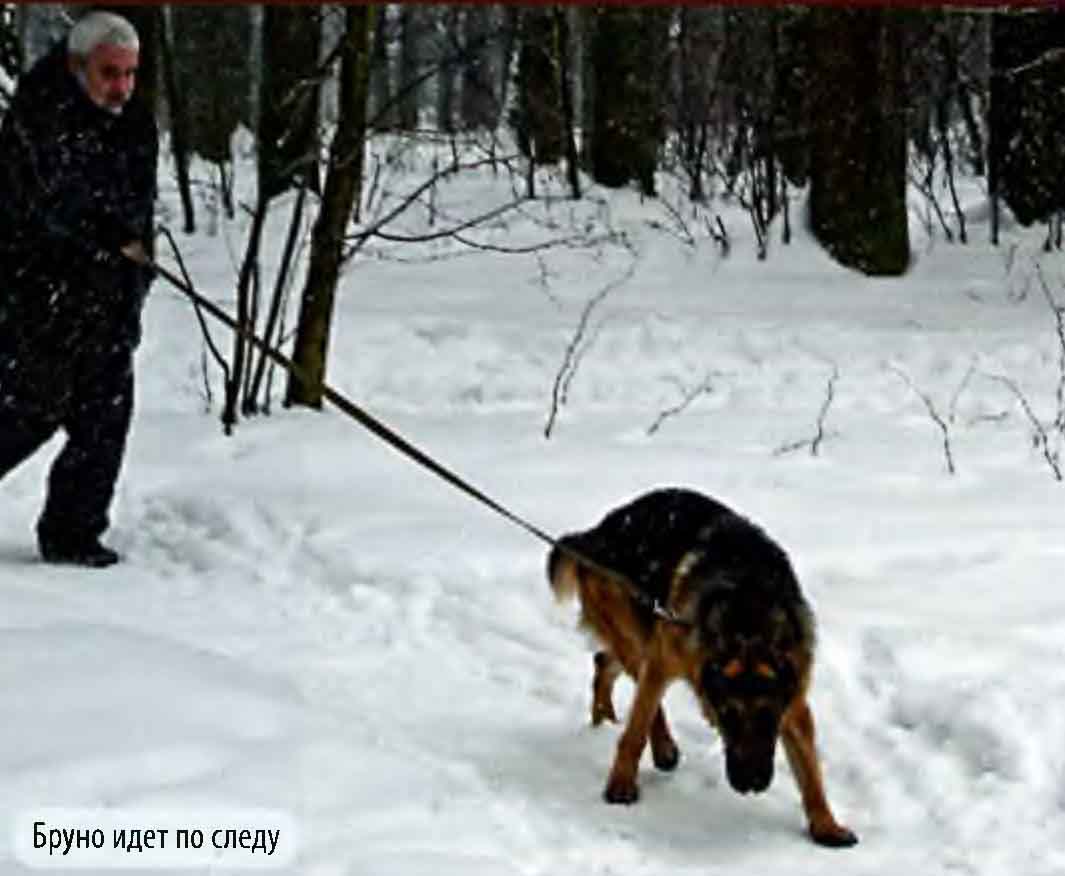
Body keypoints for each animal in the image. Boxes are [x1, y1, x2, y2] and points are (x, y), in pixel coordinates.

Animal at [549, 489, 856, 847]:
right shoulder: (663, 662)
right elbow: (636, 730)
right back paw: (662, 748)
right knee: (641, 695)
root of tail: (597, 532)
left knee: (603, 661)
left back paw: (604, 715)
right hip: (638, 636)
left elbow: (810, 771)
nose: (751, 784)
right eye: (728, 716)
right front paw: (620, 784)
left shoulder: (794, 702)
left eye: (768, 717)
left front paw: (826, 825)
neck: (748, 630)